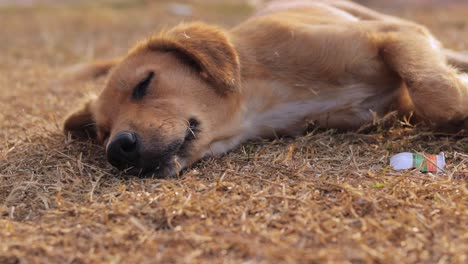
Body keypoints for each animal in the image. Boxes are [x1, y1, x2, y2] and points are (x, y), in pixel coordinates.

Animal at [63, 0, 468, 177]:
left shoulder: (396, 34)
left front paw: (460, 98)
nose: (118, 149)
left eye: (144, 83)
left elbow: (435, 93)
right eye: (102, 133)